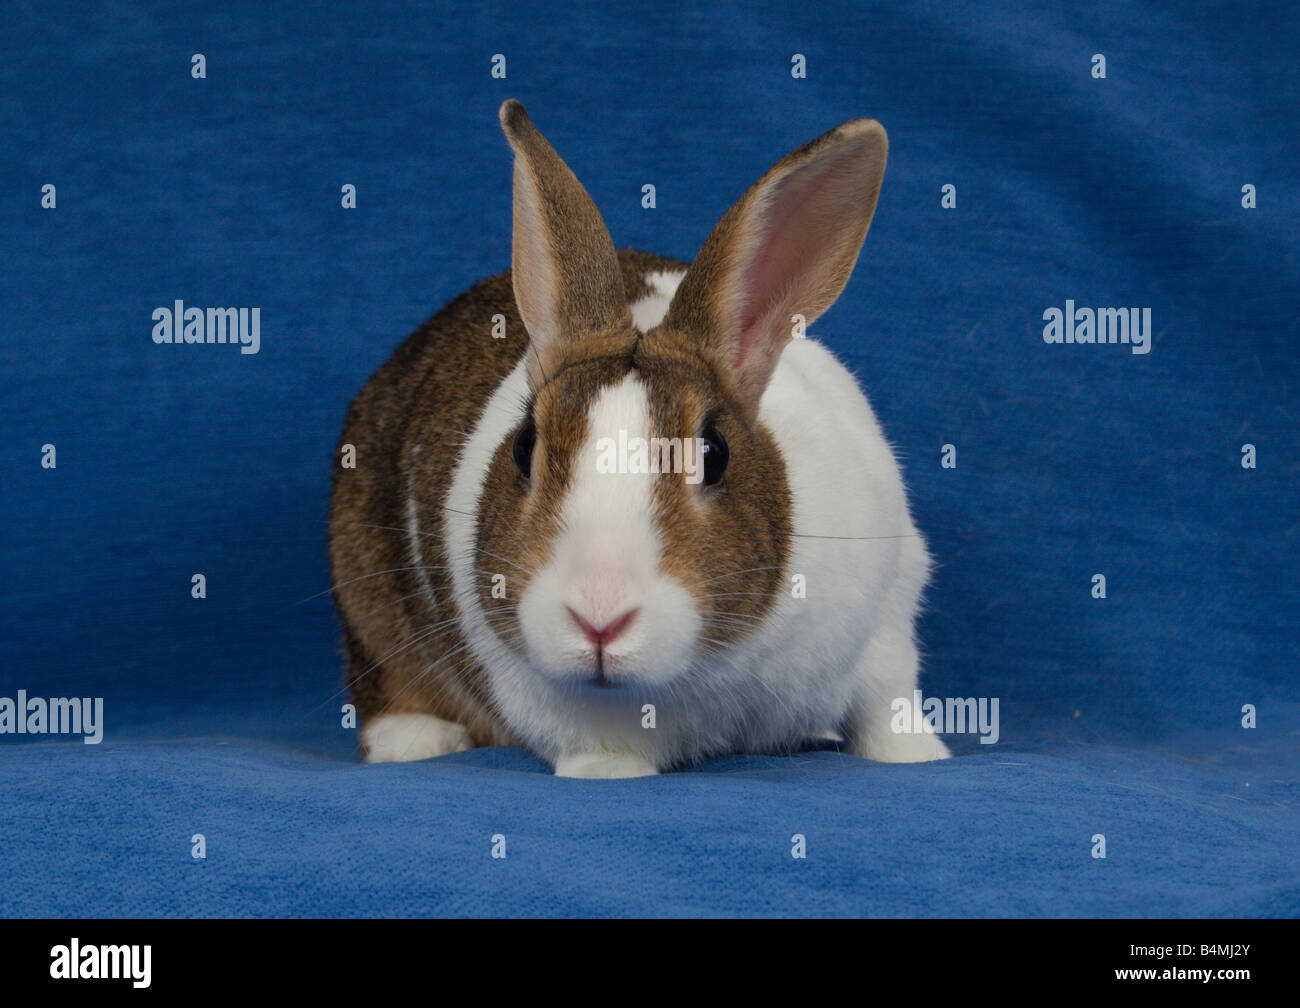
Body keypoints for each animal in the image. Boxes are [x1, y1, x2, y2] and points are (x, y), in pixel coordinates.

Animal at [329, 99, 950, 778]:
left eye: (714, 454)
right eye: (524, 448)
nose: (599, 617)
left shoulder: (888, 619)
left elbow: (887, 705)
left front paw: (920, 756)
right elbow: (603, 749)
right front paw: (607, 773)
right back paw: (414, 741)